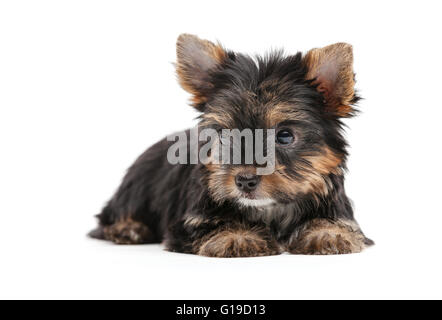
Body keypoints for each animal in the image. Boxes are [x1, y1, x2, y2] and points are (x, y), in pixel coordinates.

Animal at [89, 33, 372, 258]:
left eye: (284, 136)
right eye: (224, 134)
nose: (244, 180)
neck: (269, 209)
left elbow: (337, 223)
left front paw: (328, 234)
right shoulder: (192, 220)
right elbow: (214, 224)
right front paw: (237, 236)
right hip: (138, 185)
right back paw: (128, 228)